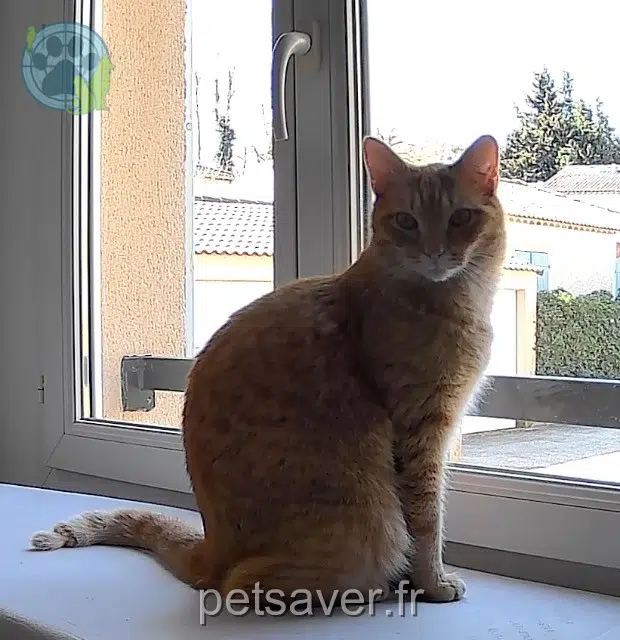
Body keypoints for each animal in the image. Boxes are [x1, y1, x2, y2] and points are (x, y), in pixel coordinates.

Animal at [30, 134, 506, 607]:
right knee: (244, 585)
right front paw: (434, 583)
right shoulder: (421, 433)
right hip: (368, 530)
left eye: (461, 217)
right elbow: (427, 521)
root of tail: (211, 548)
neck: (454, 299)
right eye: (407, 221)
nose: (435, 252)